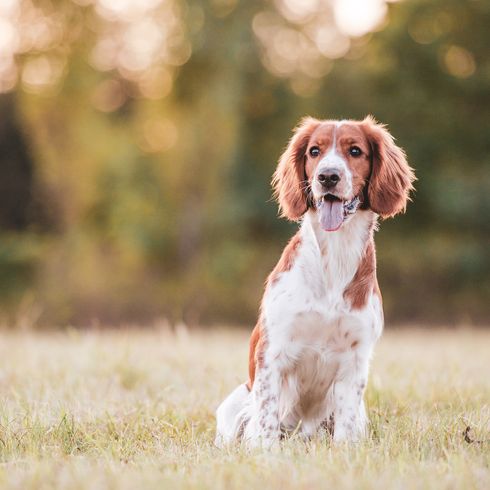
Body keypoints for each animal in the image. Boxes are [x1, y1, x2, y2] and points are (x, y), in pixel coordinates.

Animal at [214, 115, 414, 448]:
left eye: (355, 151)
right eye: (314, 151)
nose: (328, 177)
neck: (333, 257)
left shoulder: (355, 358)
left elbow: (346, 425)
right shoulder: (273, 350)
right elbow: (266, 419)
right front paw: (265, 452)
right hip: (235, 404)